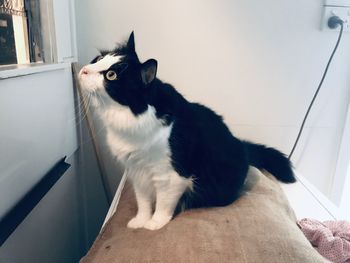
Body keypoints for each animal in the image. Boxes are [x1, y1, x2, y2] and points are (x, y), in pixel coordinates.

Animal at [79, 32, 296, 231]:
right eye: (98, 59)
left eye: (111, 75)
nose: (83, 70)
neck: (129, 120)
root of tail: (242, 145)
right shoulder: (136, 172)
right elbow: (143, 202)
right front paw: (139, 222)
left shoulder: (169, 176)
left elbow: (163, 204)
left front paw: (154, 224)